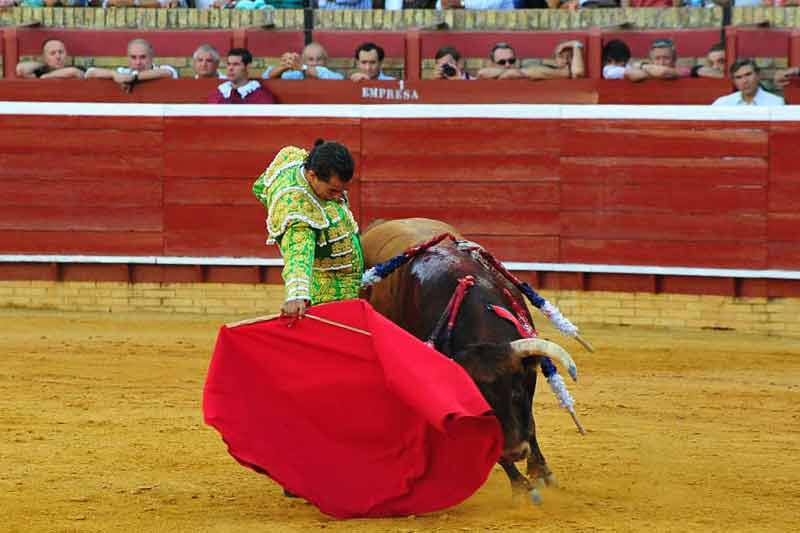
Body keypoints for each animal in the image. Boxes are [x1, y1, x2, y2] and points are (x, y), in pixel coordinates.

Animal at [362, 217, 580, 502]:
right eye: (481, 404)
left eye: (517, 393)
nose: (514, 452)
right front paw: (522, 487)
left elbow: (530, 422)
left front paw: (541, 472)